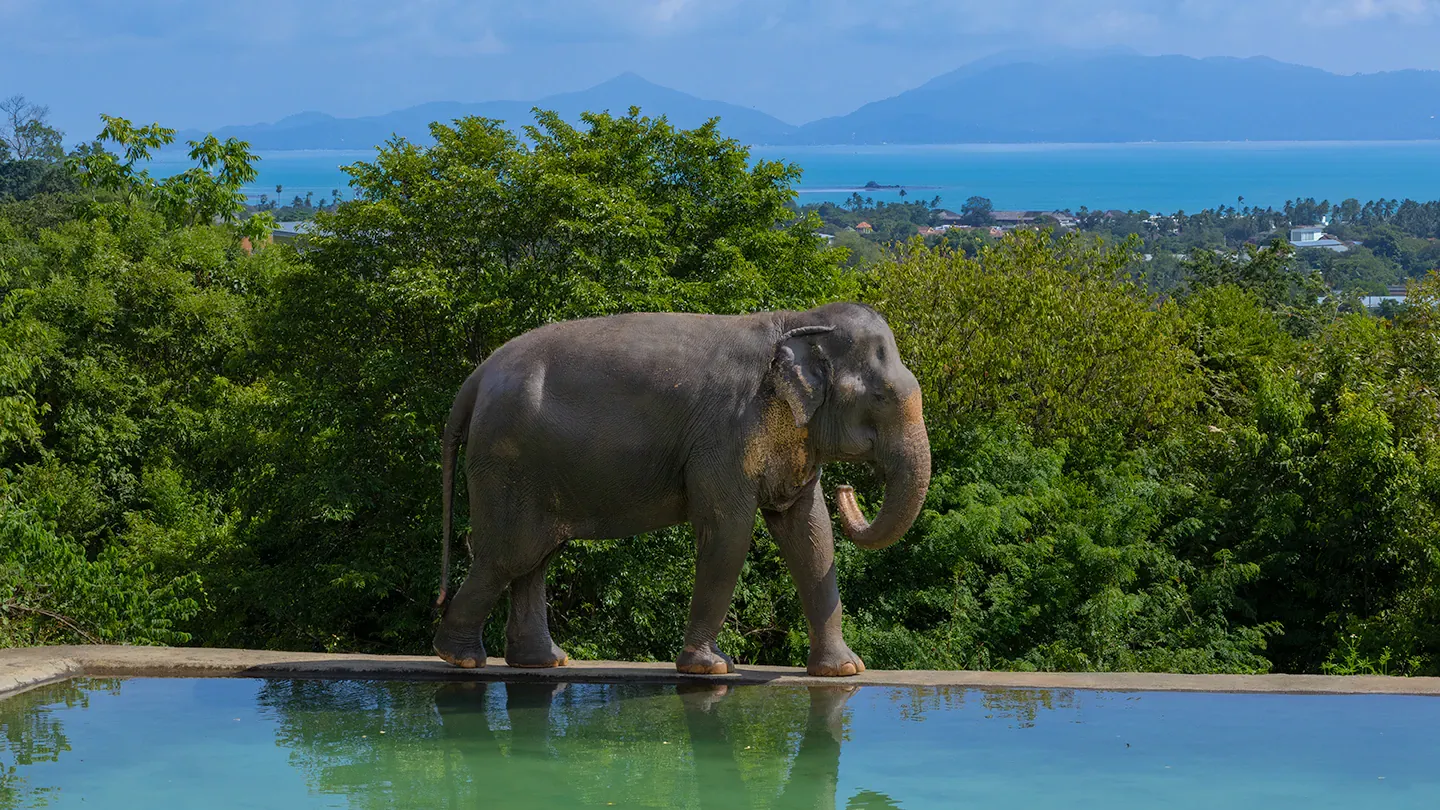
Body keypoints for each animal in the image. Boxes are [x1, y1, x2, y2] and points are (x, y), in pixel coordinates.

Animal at [432, 301, 931, 677]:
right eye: (880, 398)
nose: (848, 489)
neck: (797, 319)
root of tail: (478, 377)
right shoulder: (724, 435)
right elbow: (729, 533)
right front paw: (711, 668)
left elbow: (810, 532)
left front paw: (844, 670)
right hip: (507, 462)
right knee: (507, 554)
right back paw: (461, 658)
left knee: (534, 558)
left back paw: (542, 662)